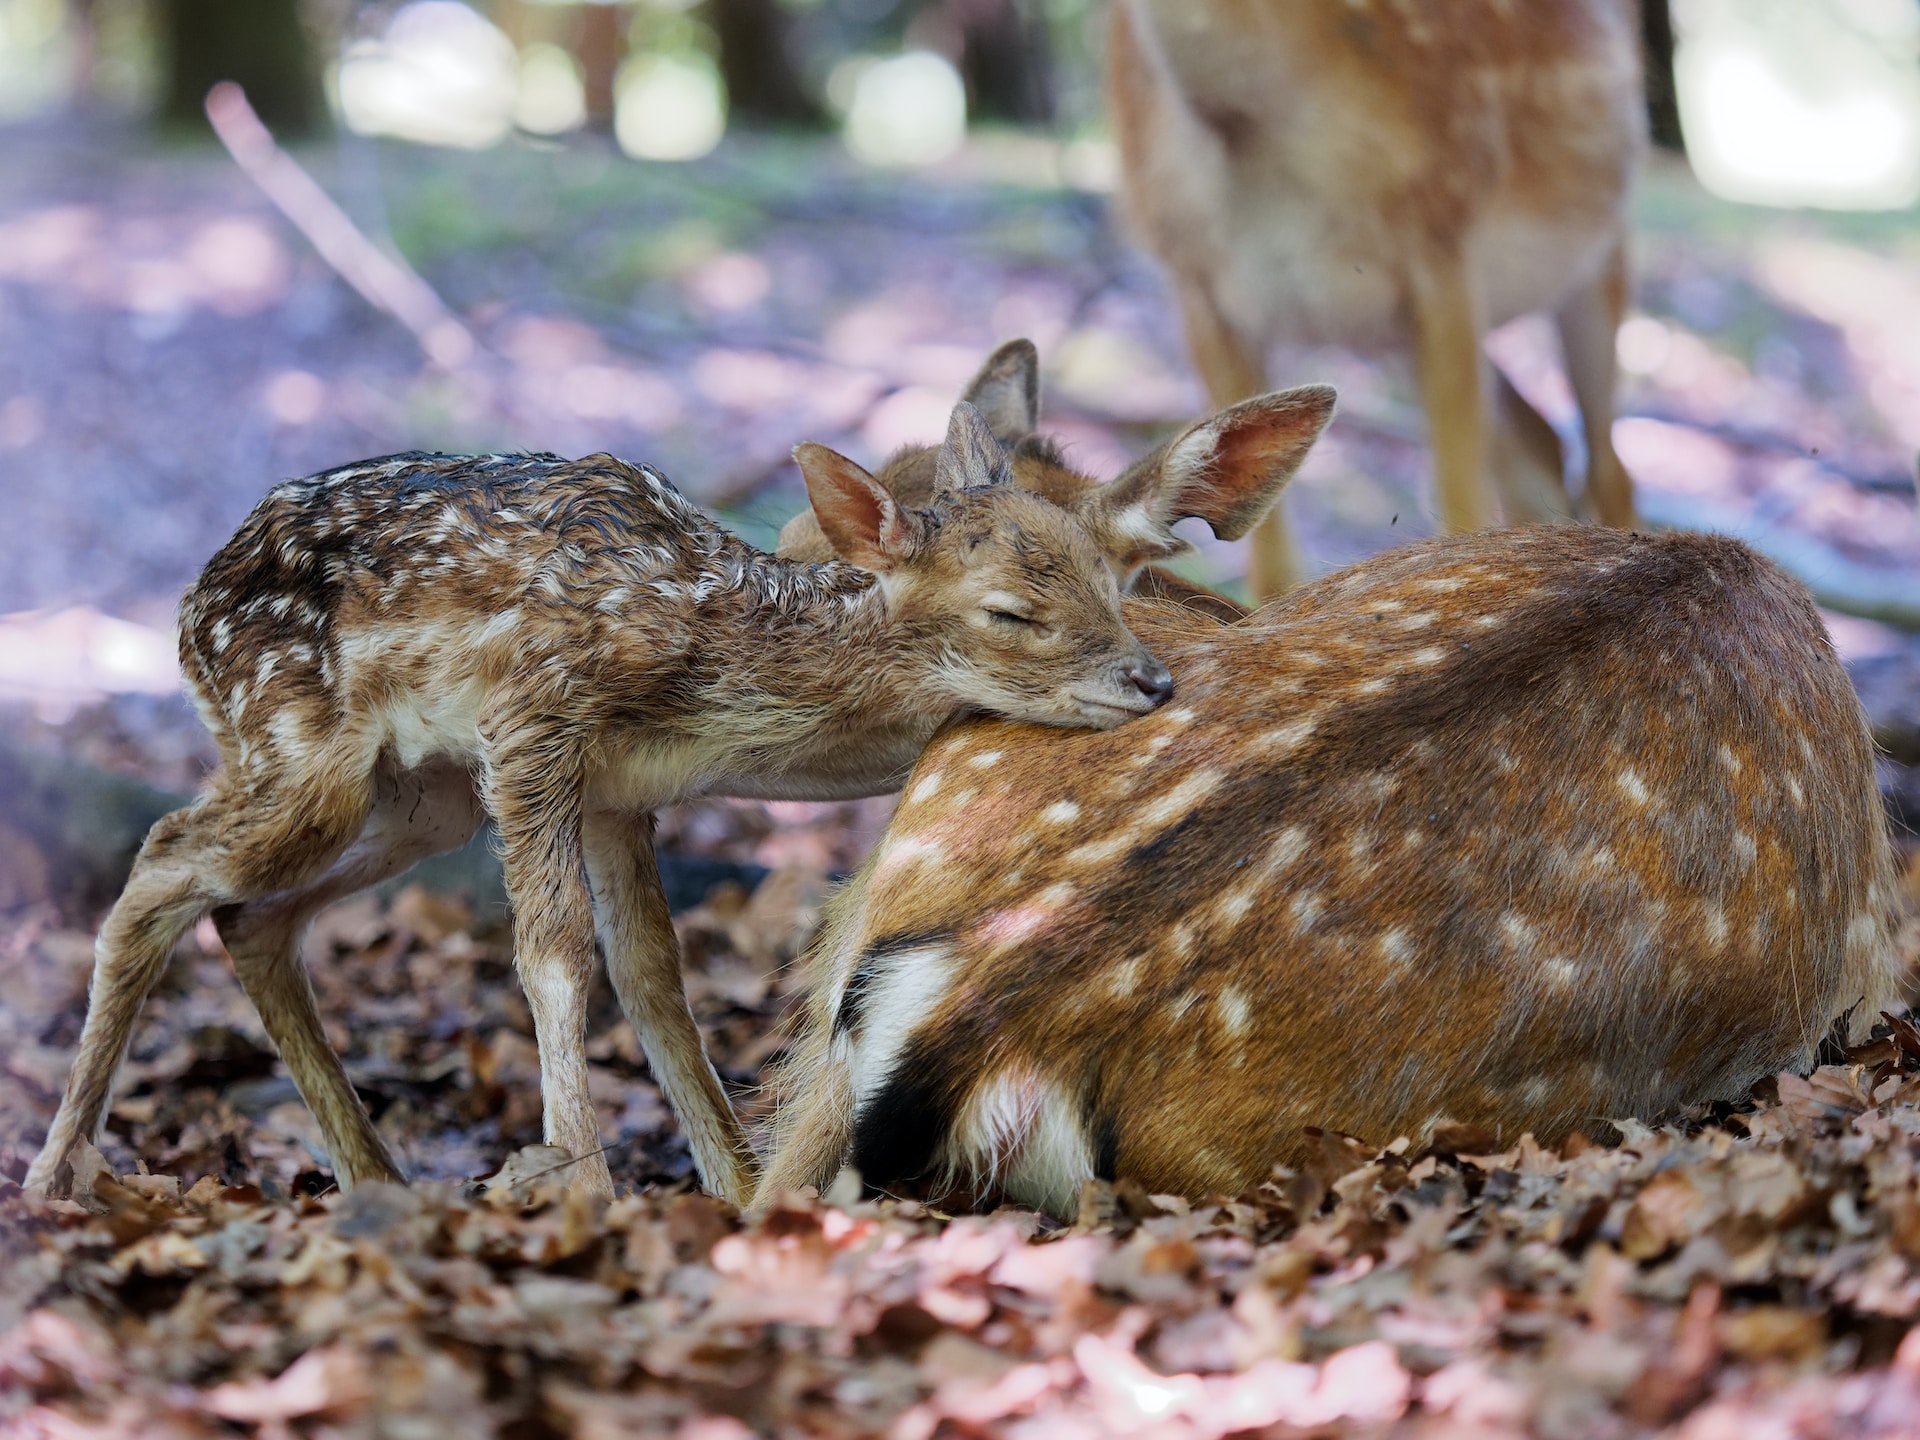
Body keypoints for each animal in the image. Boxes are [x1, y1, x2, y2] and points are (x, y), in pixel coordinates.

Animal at [25, 403, 1180, 1207]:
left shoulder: (623, 794)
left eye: (1106, 571)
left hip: (421, 798)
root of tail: (187, 611)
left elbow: (652, 975)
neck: (708, 664)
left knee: (250, 915)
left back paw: (377, 1179)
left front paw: (730, 1186)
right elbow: (553, 951)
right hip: (303, 754)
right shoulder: (531, 719)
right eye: (1011, 612)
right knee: (163, 858)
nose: (1153, 680)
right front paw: (582, 1181)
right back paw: (56, 1171)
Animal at [1108, 0, 1647, 600]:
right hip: (1390, 337)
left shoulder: (1446, 236)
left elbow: (1459, 507)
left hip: (1601, 252)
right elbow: (1271, 570)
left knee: (1609, 465)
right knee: (1540, 443)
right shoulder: (1198, 283)